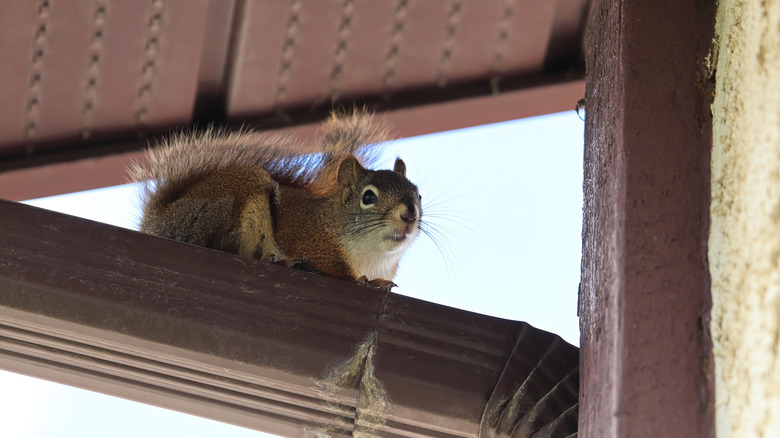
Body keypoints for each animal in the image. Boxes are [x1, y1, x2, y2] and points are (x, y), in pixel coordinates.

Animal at [129, 112, 420, 290]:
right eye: (368, 197)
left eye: (418, 194)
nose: (410, 214)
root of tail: (160, 221)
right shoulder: (316, 244)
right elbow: (335, 271)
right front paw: (367, 282)